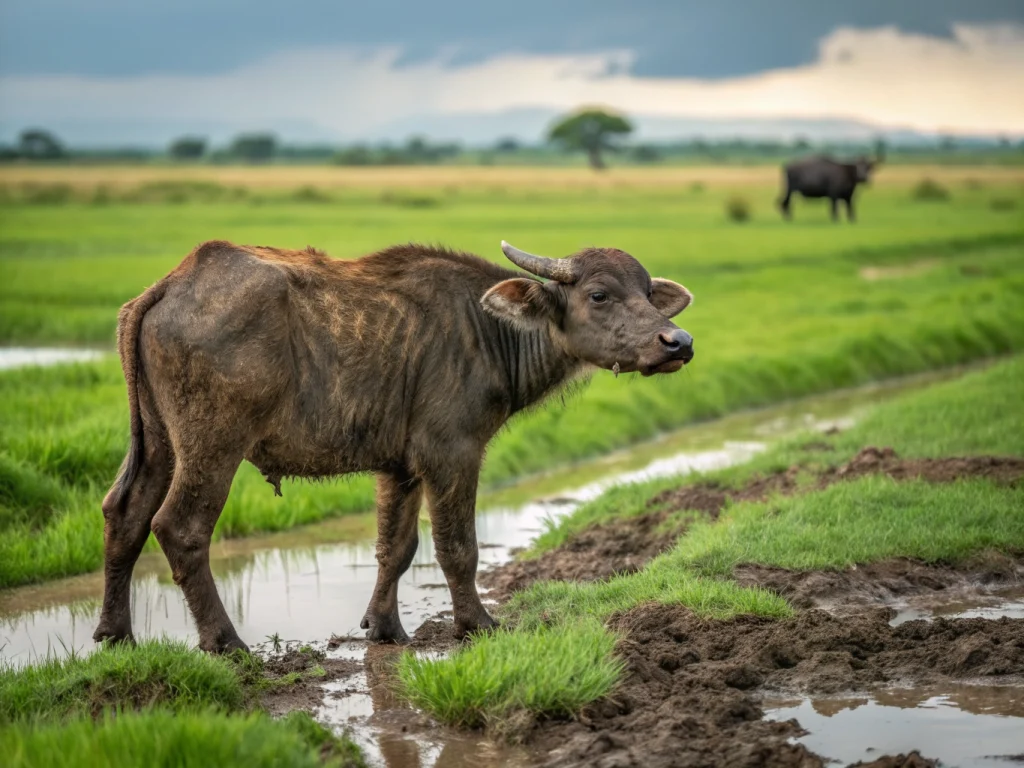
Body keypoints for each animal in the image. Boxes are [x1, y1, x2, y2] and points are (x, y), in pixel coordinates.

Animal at [93, 240, 695, 652]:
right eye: (599, 294)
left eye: (647, 294)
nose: (679, 342)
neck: (488, 329)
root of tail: (171, 285)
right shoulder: (452, 453)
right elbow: (458, 548)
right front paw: (477, 624)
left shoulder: (399, 468)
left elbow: (396, 549)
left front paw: (384, 627)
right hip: (212, 445)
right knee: (180, 527)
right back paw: (225, 642)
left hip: (158, 441)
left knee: (125, 512)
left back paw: (115, 633)